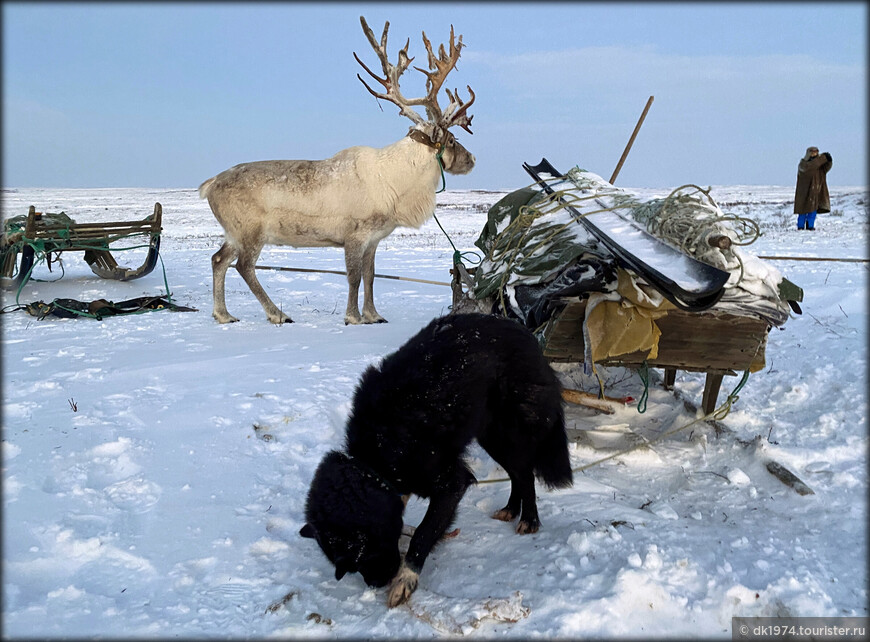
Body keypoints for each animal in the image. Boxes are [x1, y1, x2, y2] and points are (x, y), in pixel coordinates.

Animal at [300, 314, 572, 604]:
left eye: (364, 555)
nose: (376, 583)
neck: (377, 455)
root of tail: (530, 338)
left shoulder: (451, 482)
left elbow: (422, 533)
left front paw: (406, 578)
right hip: (490, 436)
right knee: (516, 474)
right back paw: (510, 509)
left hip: (507, 434)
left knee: (525, 473)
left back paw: (529, 519)